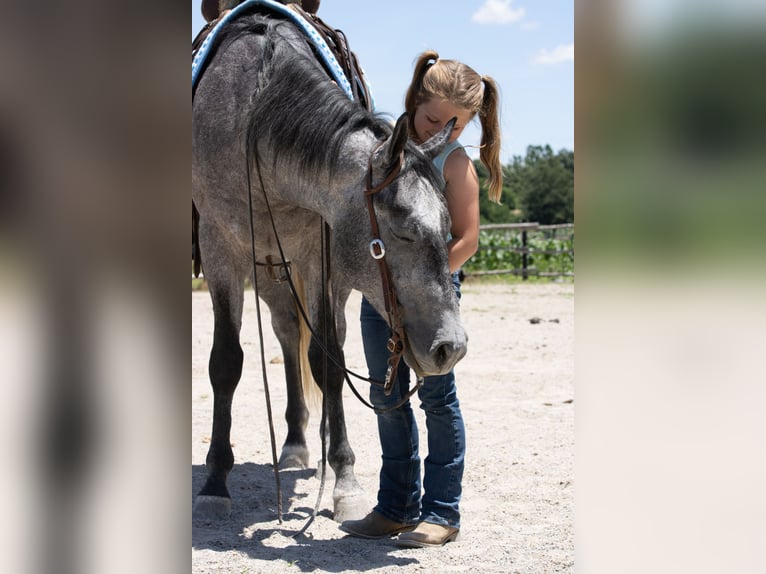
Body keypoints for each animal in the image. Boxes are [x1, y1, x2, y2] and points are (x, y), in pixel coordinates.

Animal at [192, 4, 468, 522]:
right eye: (403, 230)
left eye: (448, 227)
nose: (452, 348)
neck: (254, 116)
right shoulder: (220, 248)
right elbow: (226, 362)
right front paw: (215, 481)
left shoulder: (320, 254)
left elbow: (327, 360)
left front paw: (344, 480)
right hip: (267, 266)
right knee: (285, 331)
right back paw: (295, 444)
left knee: (316, 338)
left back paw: (309, 446)